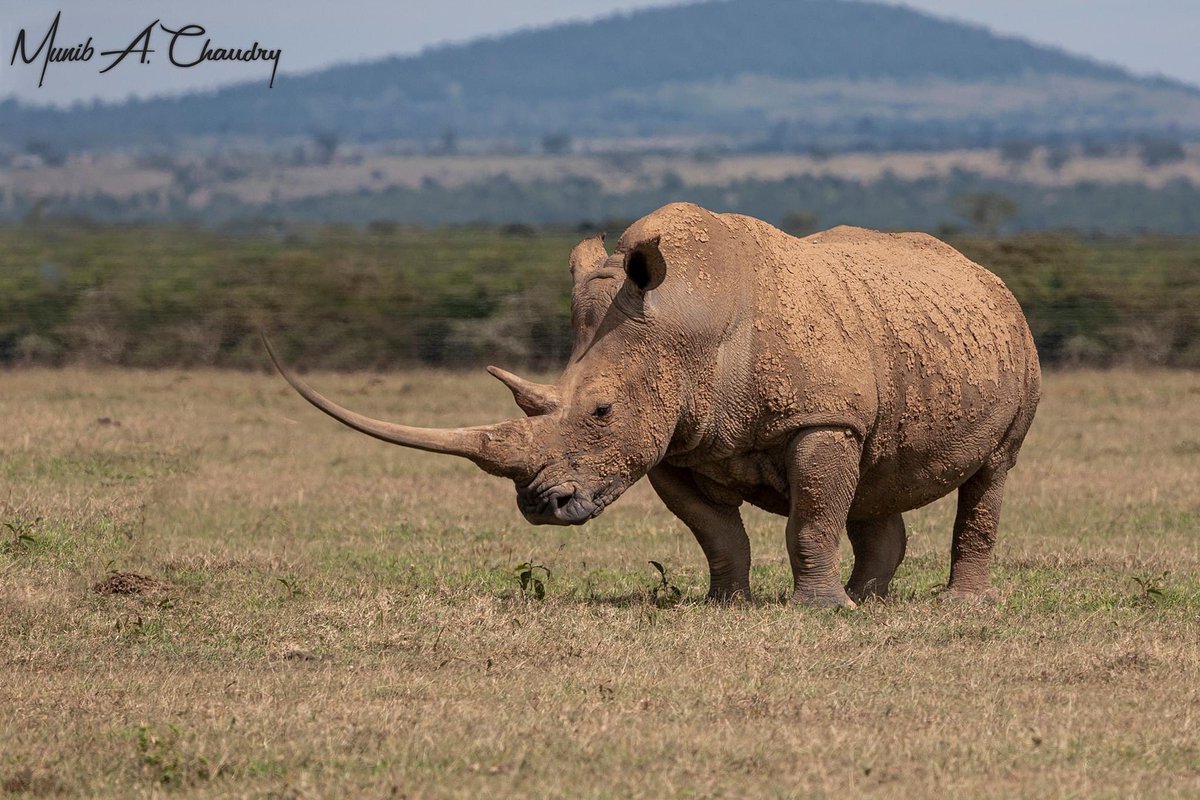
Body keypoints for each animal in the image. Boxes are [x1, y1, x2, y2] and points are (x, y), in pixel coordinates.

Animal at [265, 202, 1040, 608]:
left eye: (601, 412)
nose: (541, 506)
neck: (685, 325)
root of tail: (984, 274)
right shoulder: (673, 438)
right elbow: (718, 533)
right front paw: (729, 606)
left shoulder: (818, 417)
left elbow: (811, 517)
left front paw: (820, 612)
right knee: (875, 476)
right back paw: (872, 598)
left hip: (1014, 344)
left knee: (992, 472)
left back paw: (953, 605)